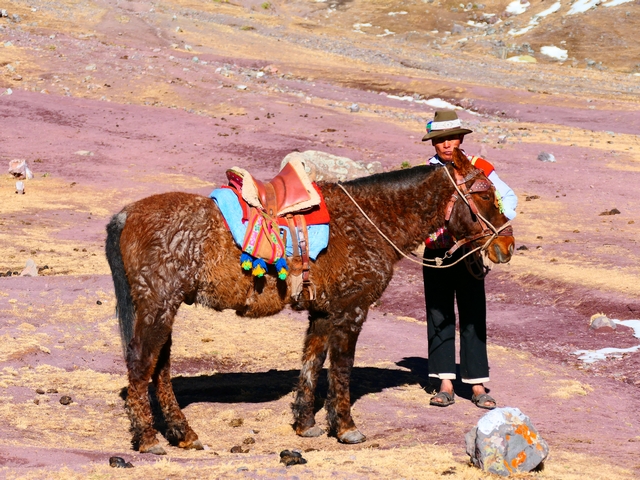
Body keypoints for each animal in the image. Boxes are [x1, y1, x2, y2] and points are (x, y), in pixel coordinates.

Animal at [105, 148, 514, 455]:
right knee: (141, 365)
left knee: (159, 369)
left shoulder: (322, 312)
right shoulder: (351, 310)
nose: (507, 245)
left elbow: (312, 363)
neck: (372, 219)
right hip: (158, 307)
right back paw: (149, 440)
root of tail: (127, 214)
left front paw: (306, 424)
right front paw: (346, 428)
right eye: (483, 194)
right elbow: (342, 368)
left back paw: (183, 434)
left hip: (164, 308)